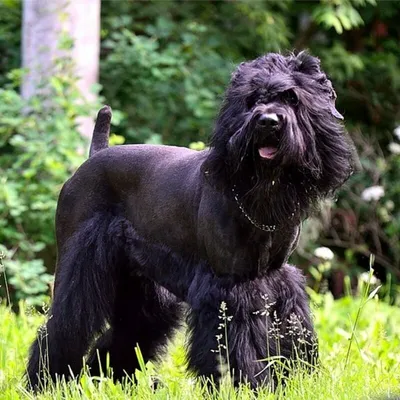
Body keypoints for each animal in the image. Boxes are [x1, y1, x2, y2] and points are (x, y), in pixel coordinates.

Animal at [26, 51, 354, 390]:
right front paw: (242, 384)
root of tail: (94, 156)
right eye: (251, 99)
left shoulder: (276, 278)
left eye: (292, 98)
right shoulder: (226, 287)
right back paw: (45, 381)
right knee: (64, 325)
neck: (251, 191)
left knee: (127, 329)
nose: (267, 121)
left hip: (137, 284)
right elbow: (235, 345)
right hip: (78, 267)